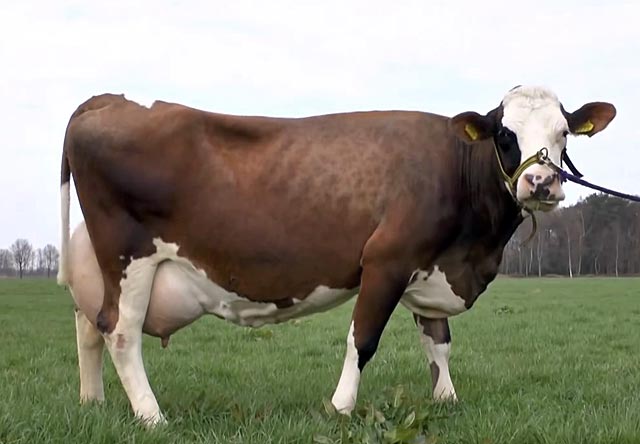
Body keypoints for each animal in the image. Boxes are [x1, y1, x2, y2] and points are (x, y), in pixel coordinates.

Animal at [57, 86, 616, 425]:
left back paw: (91, 402)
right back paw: (152, 417)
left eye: (563, 132)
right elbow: (362, 340)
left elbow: (438, 343)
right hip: (129, 256)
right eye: (505, 134)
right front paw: (341, 407)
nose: (540, 182)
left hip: (99, 262)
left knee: (89, 325)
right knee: (120, 332)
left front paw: (447, 399)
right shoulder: (388, 259)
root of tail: (107, 100)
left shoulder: (430, 267)